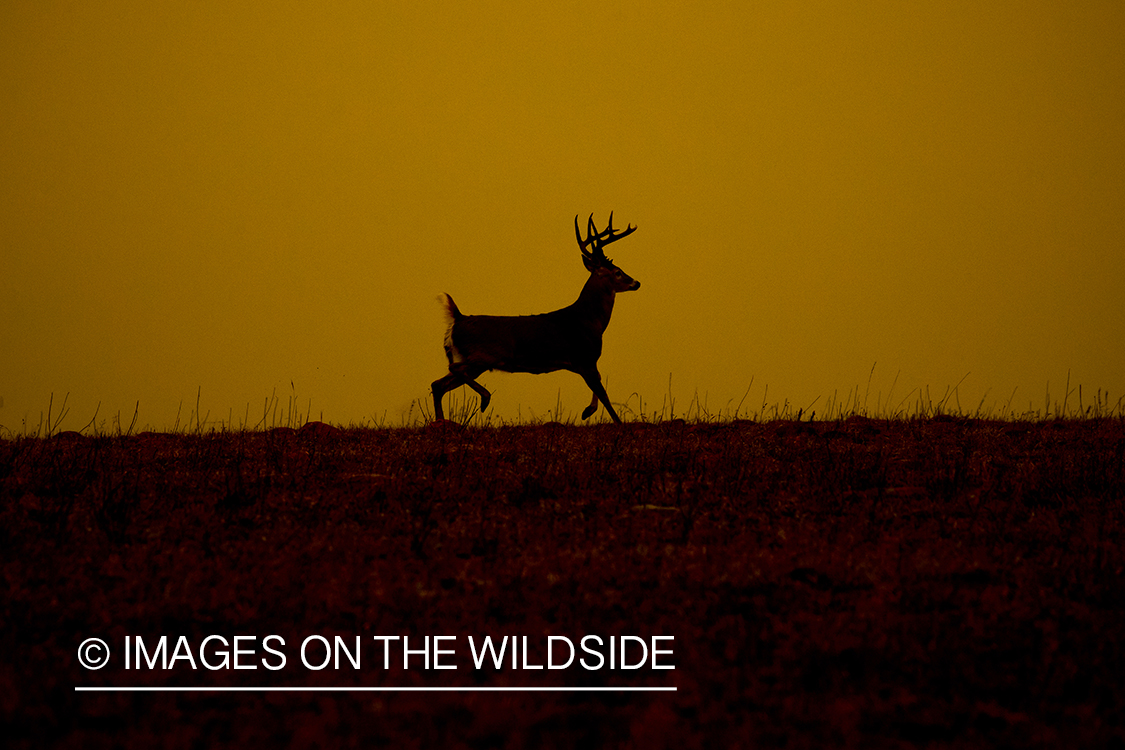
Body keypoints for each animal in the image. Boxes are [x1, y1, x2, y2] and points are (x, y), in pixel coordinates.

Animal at [432, 212, 643, 422]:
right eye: (617, 271)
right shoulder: (585, 358)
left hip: (472, 361)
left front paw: (587, 411)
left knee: (438, 384)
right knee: (452, 371)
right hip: (482, 356)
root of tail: (457, 318)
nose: (636, 282)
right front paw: (614, 421)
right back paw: (484, 398)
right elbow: (604, 395)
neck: (590, 321)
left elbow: (599, 391)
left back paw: (443, 421)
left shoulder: (585, 363)